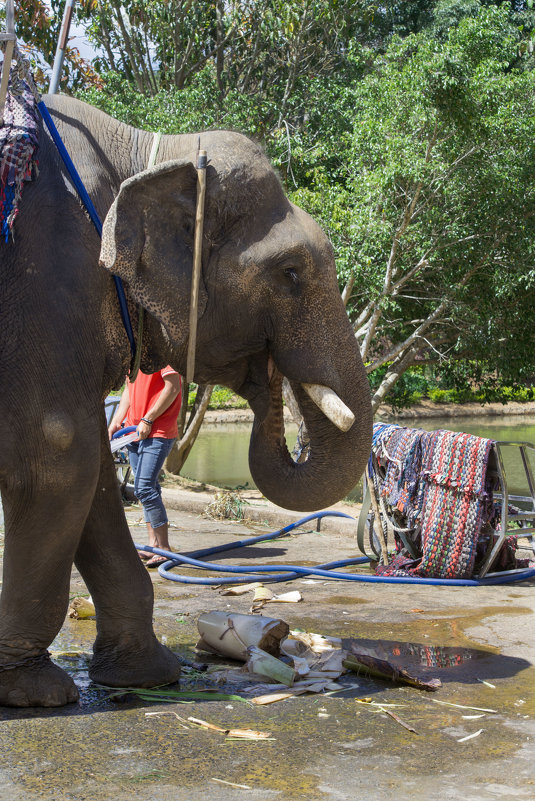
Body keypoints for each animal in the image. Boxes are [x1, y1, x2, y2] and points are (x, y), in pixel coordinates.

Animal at [0, 95, 372, 708]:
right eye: (290, 272)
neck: (142, 151)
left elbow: (95, 474)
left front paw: (145, 676)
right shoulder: (44, 278)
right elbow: (60, 453)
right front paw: (33, 691)